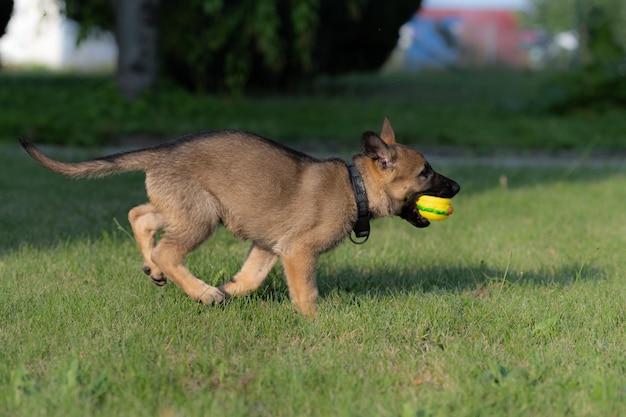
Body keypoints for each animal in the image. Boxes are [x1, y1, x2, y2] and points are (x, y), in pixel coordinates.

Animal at [19, 117, 458, 316]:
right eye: (425, 173)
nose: (456, 187)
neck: (357, 188)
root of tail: (163, 151)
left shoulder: (269, 246)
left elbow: (249, 279)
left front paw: (231, 290)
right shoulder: (298, 252)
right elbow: (307, 293)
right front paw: (317, 322)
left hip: (183, 209)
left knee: (140, 216)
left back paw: (158, 272)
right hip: (202, 216)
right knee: (167, 250)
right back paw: (200, 291)